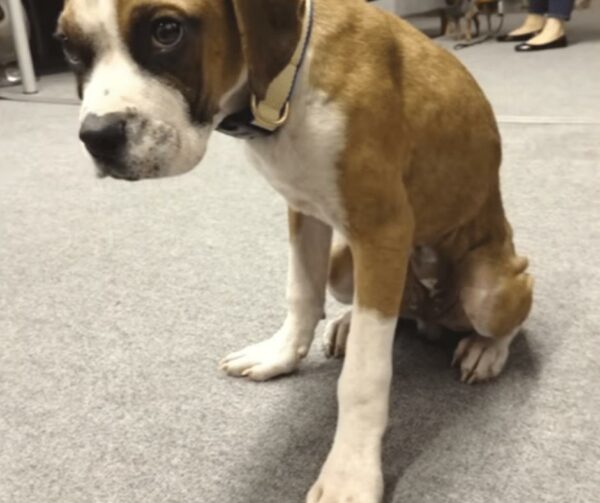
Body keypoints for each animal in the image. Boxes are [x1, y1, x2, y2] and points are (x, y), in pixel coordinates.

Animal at [57, 0, 536, 503]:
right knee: (387, 308)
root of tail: (433, 313)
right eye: (67, 47)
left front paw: (350, 472)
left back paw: (486, 350)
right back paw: (349, 324)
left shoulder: (383, 229)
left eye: (167, 30)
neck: (287, 80)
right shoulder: (305, 212)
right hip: (346, 265)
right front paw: (281, 355)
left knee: (504, 314)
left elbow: (364, 376)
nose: (97, 137)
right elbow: (302, 295)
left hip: (488, 289)